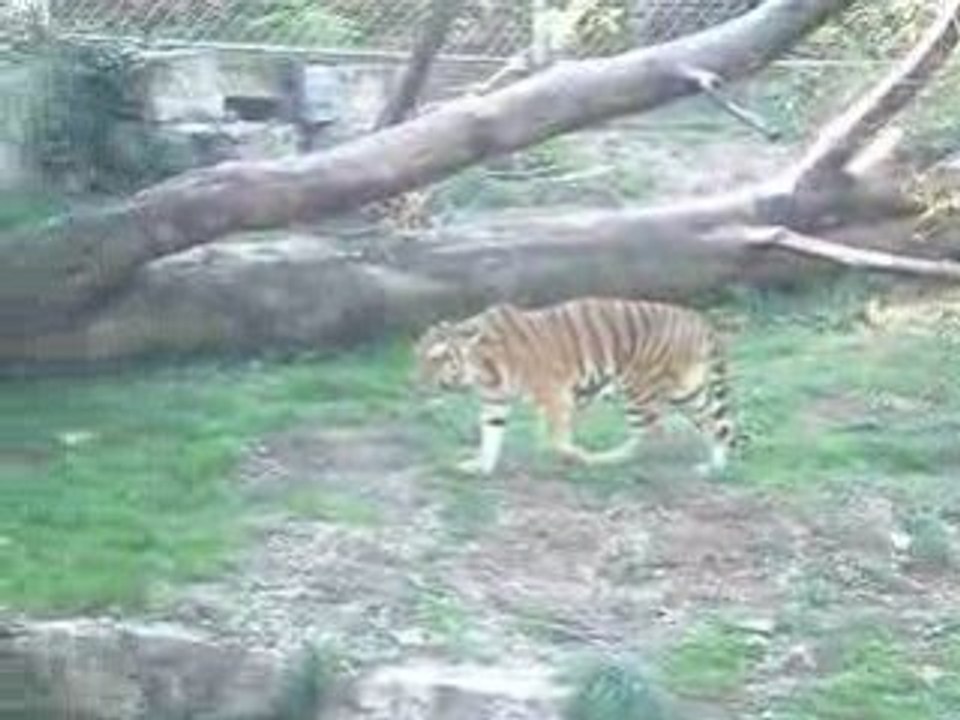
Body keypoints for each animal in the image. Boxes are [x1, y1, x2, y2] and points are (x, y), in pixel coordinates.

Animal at [413, 296, 740, 476]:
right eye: (419, 358)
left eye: (438, 359)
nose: (417, 384)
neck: (482, 370)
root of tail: (699, 321)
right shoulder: (495, 403)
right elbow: (490, 439)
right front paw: (479, 468)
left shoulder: (555, 395)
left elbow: (555, 439)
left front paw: (574, 455)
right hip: (688, 392)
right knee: (718, 425)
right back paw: (714, 467)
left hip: (637, 390)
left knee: (652, 431)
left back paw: (604, 459)